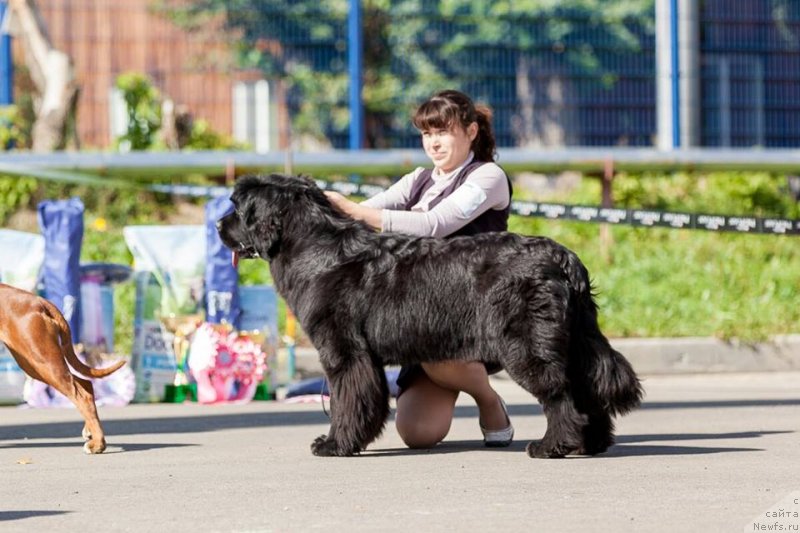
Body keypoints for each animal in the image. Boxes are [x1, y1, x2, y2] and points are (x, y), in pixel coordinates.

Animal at [0, 282, 125, 454]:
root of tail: (40, 302)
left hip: (42, 362)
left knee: (81, 396)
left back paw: (98, 444)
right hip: (33, 364)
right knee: (85, 385)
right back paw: (90, 432)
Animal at [216, 175, 640, 458]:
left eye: (238, 208)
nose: (219, 224)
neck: (315, 249)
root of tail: (563, 258)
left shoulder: (344, 353)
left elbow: (346, 400)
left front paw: (335, 443)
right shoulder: (361, 357)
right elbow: (363, 400)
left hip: (528, 346)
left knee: (559, 394)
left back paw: (552, 445)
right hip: (576, 340)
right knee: (586, 387)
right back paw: (592, 443)